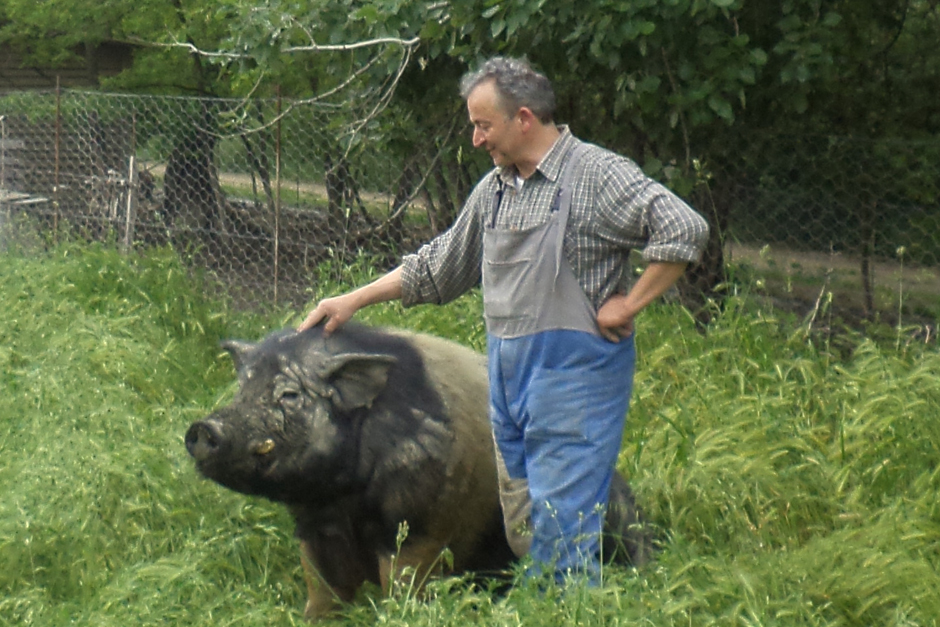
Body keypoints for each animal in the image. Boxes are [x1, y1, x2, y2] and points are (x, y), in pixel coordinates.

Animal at [184, 326, 652, 620]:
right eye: (242, 386)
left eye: (289, 394)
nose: (203, 428)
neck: (344, 499)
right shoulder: (313, 525)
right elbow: (321, 587)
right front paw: (311, 618)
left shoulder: (421, 524)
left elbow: (402, 582)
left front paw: (399, 616)